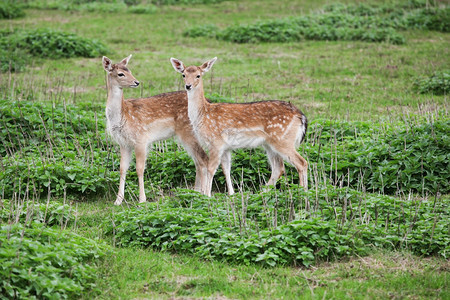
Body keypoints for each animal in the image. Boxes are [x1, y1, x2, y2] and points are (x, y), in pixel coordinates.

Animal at [104, 54, 230, 204]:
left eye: (129, 70)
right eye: (121, 73)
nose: (136, 82)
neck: (123, 116)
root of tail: (208, 103)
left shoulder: (141, 138)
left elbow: (139, 169)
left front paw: (142, 200)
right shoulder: (123, 143)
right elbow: (122, 169)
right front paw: (118, 201)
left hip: (189, 134)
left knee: (203, 159)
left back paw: (202, 194)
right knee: (198, 161)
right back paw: (195, 192)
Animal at [171, 56, 308, 197]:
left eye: (198, 75)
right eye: (183, 75)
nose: (188, 86)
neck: (203, 115)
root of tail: (301, 116)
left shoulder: (215, 142)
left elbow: (211, 168)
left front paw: (207, 196)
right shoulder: (225, 146)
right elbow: (226, 168)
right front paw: (231, 194)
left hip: (283, 139)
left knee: (302, 163)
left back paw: (303, 193)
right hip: (270, 144)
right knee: (279, 168)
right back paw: (261, 194)